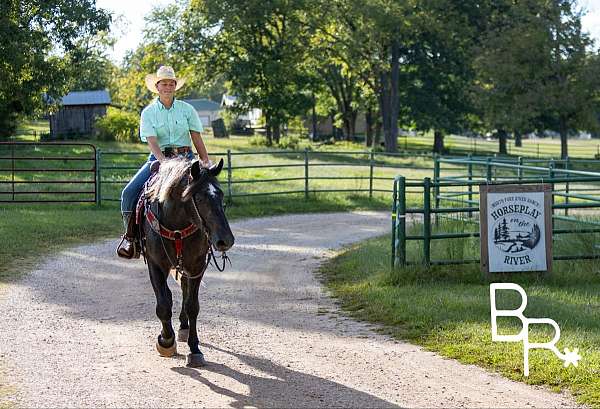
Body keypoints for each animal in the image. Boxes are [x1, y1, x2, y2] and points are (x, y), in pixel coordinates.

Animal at [142, 157, 233, 366]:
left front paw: (194, 349)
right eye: (199, 198)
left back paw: (183, 327)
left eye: (221, 195)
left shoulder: (196, 266)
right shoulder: (155, 264)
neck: (177, 224)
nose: (226, 240)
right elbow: (163, 304)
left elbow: (192, 306)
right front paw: (166, 341)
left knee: (184, 290)